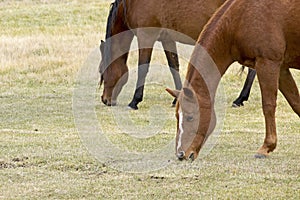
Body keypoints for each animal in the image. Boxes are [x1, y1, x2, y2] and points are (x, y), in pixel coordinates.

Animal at [99, 0, 255, 109]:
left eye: (101, 71)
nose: (105, 99)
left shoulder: (146, 37)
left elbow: (143, 68)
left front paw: (135, 100)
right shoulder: (167, 39)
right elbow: (174, 66)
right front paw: (177, 97)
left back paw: (240, 98)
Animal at [166, 0, 300, 160]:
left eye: (190, 117)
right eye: (177, 116)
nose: (181, 154)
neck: (241, 17)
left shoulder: (268, 64)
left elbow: (268, 106)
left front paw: (266, 147)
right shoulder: (282, 69)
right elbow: (296, 103)